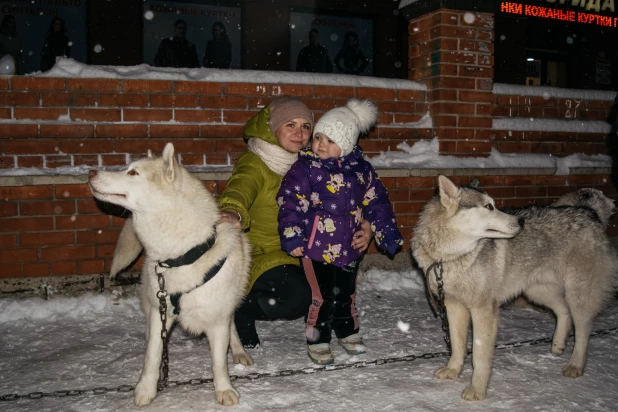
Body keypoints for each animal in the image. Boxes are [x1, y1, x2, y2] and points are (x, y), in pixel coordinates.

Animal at [87, 143, 250, 408]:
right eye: (128, 168)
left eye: (133, 173)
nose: (90, 172)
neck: (183, 255)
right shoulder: (159, 312)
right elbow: (152, 355)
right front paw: (146, 390)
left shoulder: (217, 319)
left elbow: (218, 361)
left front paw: (224, 389)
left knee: (232, 326)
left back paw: (239, 351)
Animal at [410, 175, 616, 400]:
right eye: (489, 207)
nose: (521, 221)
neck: (449, 257)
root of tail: (589, 212)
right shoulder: (454, 306)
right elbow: (457, 346)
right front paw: (453, 370)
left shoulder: (483, 310)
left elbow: (479, 356)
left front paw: (477, 390)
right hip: (537, 291)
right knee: (564, 312)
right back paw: (557, 344)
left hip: (577, 294)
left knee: (583, 330)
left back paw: (576, 365)